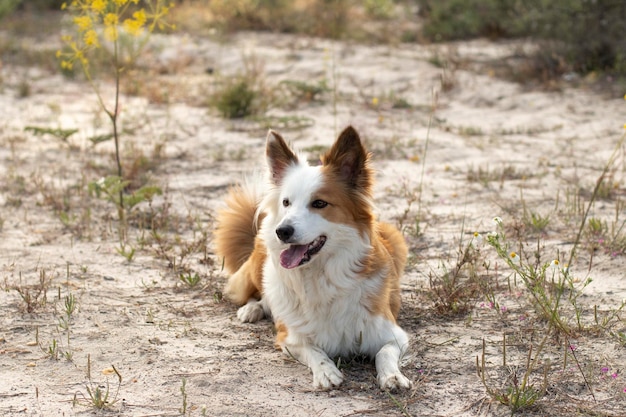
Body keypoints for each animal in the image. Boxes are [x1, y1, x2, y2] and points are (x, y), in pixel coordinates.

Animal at [213, 125, 410, 388]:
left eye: (319, 203)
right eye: (286, 202)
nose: (282, 231)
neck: (321, 275)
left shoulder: (393, 334)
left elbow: (384, 352)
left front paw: (393, 376)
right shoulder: (289, 338)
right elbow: (313, 349)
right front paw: (326, 371)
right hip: (255, 269)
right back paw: (252, 309)